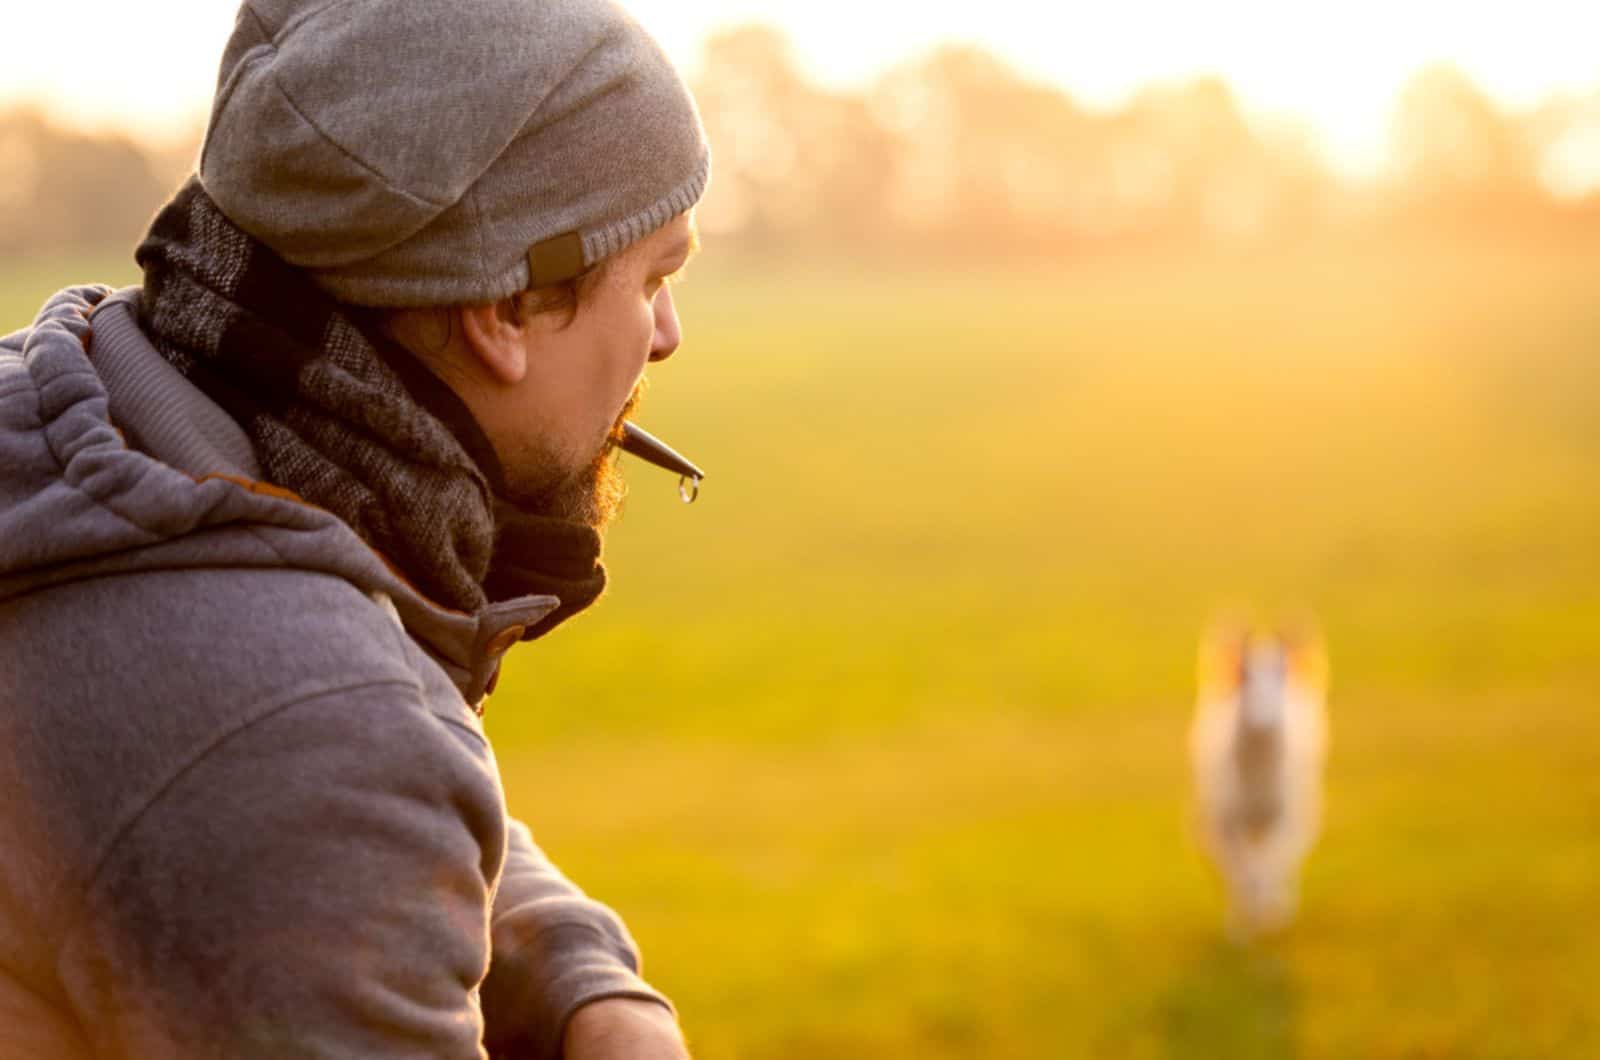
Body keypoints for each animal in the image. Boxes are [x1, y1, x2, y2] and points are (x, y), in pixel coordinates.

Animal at [1190, 624, 1324, 941]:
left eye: (1283, 673)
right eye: (1243, 674)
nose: (1265, 720)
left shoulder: (1288, 817)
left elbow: (1271, 865)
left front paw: (1270, 914)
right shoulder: (1223, 822)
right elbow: (1242, 871)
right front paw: (1240, 929)